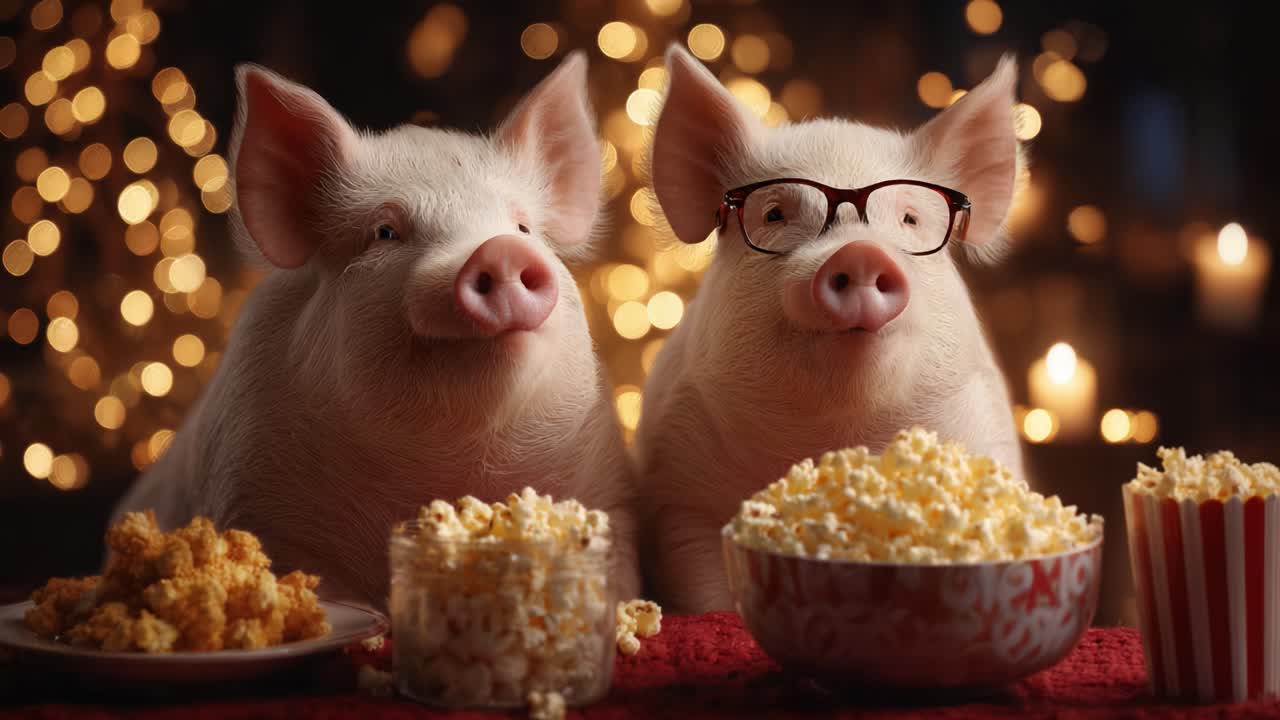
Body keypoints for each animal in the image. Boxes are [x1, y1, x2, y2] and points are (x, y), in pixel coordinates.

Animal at [112, 52, 641, 608]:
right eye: (385, 233)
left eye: (523, 228)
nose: (500, 250)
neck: (446, 467)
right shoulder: (249, 497)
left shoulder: (609, 493)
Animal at [636, 46, 1027, 613]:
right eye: (774, 214)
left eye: (910, 219)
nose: (859, 253)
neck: (837, 435)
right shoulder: (678, 495)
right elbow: (708, 589)